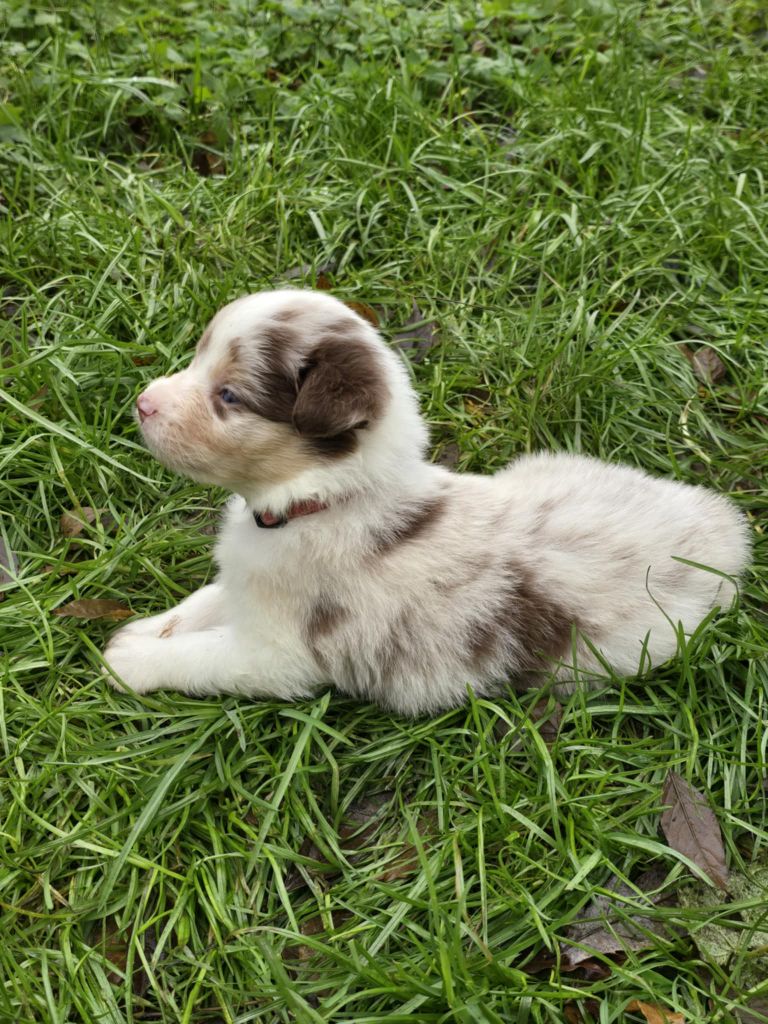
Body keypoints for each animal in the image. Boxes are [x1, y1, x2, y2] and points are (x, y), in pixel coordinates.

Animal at [103, 288, 753, 712]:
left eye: (230, 396)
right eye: (198, 358)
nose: (143, 402)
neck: (325, 499)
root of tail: (725, 529)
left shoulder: (276, 652)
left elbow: (205, 654)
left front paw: (129, 662)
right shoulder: (246, 584)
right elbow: (203, 602)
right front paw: (144, 630)